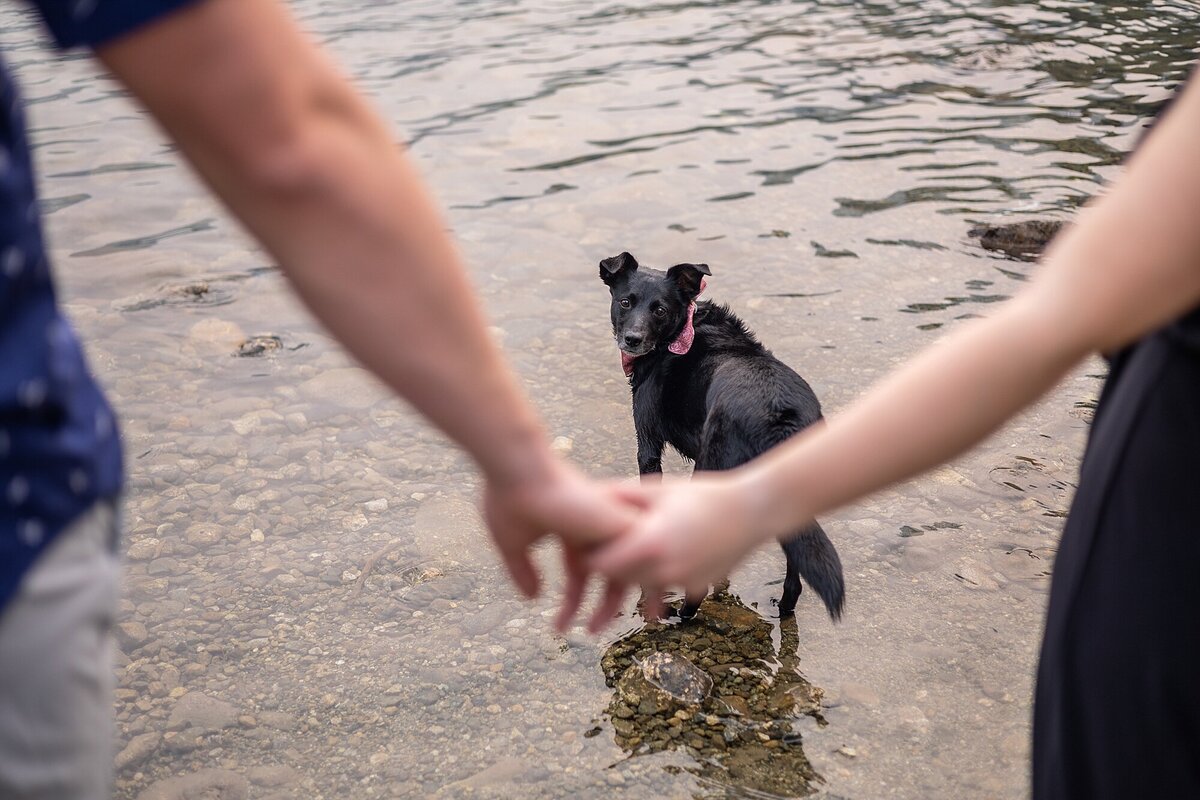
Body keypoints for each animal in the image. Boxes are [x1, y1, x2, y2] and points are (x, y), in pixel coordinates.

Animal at [600, 250, 844, 618]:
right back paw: (782, 607)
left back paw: (682, 615)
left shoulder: (648, 444)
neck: (682, 332)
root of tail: (777, 413)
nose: (633, 340)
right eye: (626, 302)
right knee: (794, 572)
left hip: (713, 469)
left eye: (660, 310)